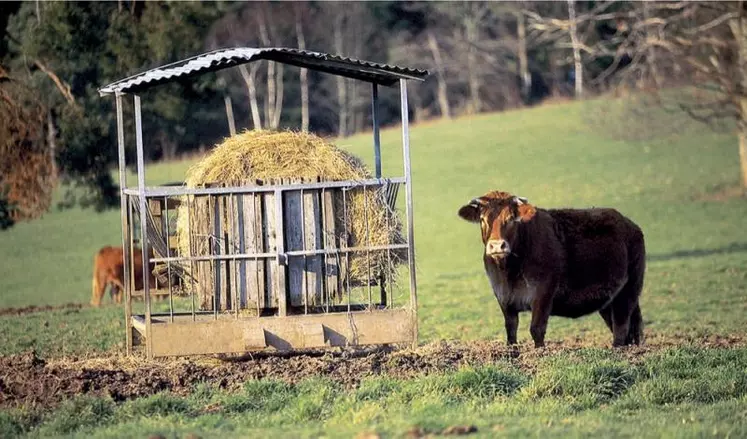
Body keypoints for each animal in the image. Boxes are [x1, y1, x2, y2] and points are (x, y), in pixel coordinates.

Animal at [458, 191, 644, 348]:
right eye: (482, 219)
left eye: (511, 218)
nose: (497, 246)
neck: (509, 271)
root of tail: (630, 224)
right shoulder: (504, 298)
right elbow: (511, 330)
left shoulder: (543, 294)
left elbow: (536, 329)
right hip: (608, 300)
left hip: (628, 291)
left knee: (621, 326)